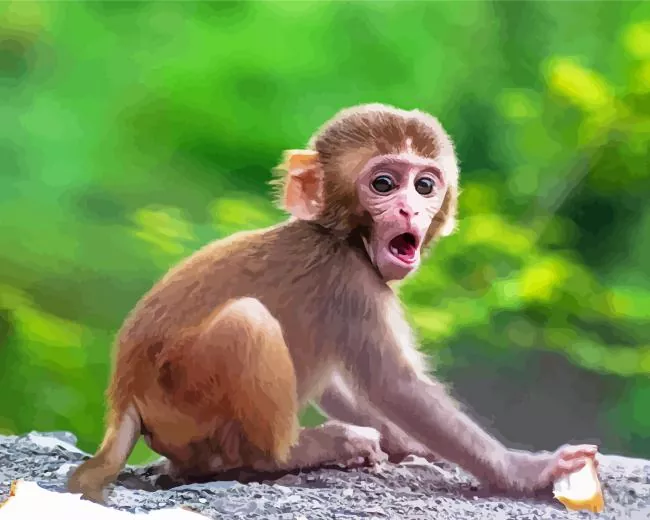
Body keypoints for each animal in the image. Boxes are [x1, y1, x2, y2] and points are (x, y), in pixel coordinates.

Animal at [67, 103, 598, 504]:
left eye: (425, 185)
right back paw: (291, 454)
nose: (409, 209)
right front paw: (526, 471)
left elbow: (343, 385)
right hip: (182, 400)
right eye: (384, 184)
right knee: (248, 322)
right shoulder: (352, 282)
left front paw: (405, 443)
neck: (342, 236)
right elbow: (394, 384)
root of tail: (125, 397)